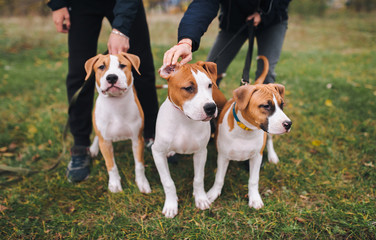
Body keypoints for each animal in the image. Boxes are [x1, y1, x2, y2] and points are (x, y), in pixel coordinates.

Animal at [152, 61, 226, 218]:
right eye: (188, 88)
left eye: (209, 85)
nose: (211, 108)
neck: (184, 119)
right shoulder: (157, 152)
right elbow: (168, 182)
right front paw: (171, 205)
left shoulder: (201, 152)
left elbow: (198, 178)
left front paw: (201, 199)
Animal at [207, 55, 292, 208]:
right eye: (266, 106)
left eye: (282, 105)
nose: (288, 124)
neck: (246, 131)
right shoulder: (223, 156)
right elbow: (219, 178)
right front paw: (213, 193)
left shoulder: (257, 157)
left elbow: (253, 180)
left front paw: (255, 198)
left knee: (270, 140)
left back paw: (273, 156)